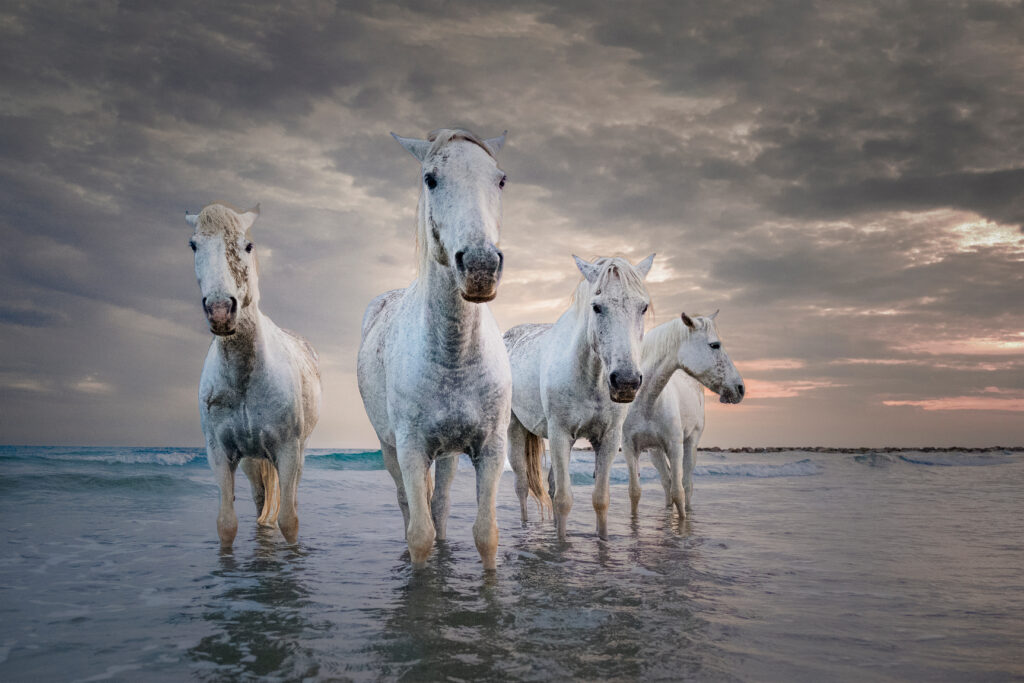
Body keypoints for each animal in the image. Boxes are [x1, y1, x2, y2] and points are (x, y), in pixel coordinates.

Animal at [184, 202, 321, 548]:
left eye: (248, 245)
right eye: (193, 245)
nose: (221, 310)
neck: (244, 377)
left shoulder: (287, 450)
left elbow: (289, 520)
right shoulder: (219, 454)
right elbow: (226, 524)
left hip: (298, 453)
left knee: (290, 497)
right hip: (251, 460)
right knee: (261, 500)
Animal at [357, 128, 511, 570]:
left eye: (500, 180)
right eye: (431, 179)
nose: (479, 267)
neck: (454, 356)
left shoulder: (491, 450)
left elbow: (485, 534)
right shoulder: (411, 450)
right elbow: (419, 535)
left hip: (447, 455)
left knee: (439, 503)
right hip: (390, 448)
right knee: (409, 504)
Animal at [505, 254, 654, 540]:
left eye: (643, 307)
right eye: (596, 307)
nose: (626, 382)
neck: (591, 378)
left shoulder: (608, 439)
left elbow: (600, 499)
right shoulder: (560, 434)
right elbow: (564, 500)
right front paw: (562, 545)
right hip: (515, 429)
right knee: (521, 486)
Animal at [621, 311, 744, 519]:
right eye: (715, 345)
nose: (740, 388)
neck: (646, 402)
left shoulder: (675, 447)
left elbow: (679, 493)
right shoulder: (630, 448)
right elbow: (635, 492)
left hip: (690, 443)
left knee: (686, 485)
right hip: (655, 452)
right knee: (666, 482)